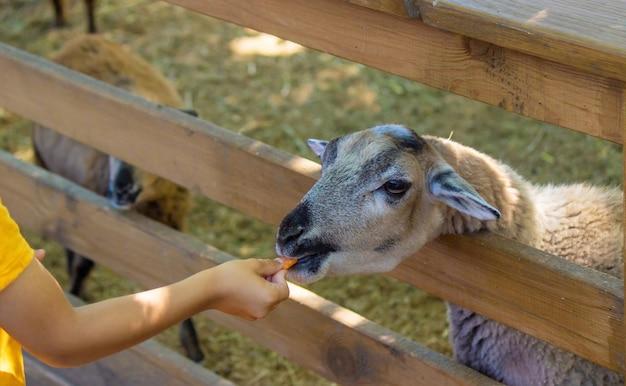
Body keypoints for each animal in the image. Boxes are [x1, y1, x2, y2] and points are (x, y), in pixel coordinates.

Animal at [33, 34, 204, 364]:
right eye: (113, 143)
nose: (120, 190)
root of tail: (81, 39)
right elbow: (85, 262)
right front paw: (74, 296)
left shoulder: (171, 234)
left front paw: (194, 349)